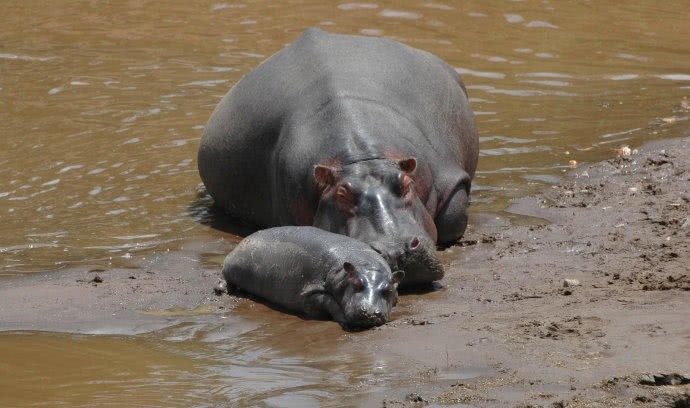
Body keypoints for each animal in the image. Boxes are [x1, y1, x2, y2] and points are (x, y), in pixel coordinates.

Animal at [198, 27, 478, 284]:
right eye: (342, 194)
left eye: (406, 184)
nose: (395, 249)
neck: (362, 159)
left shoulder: (447, 178)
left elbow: (453, 218)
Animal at [220, 225, 404, 330]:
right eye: (356, 284)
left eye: (388, 290)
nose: (371, 313)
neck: (364, 265)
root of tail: (245, 239)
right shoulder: (309, 293)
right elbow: (329, 301)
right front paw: (344, 322)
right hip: (233, 265)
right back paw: (221, 290)